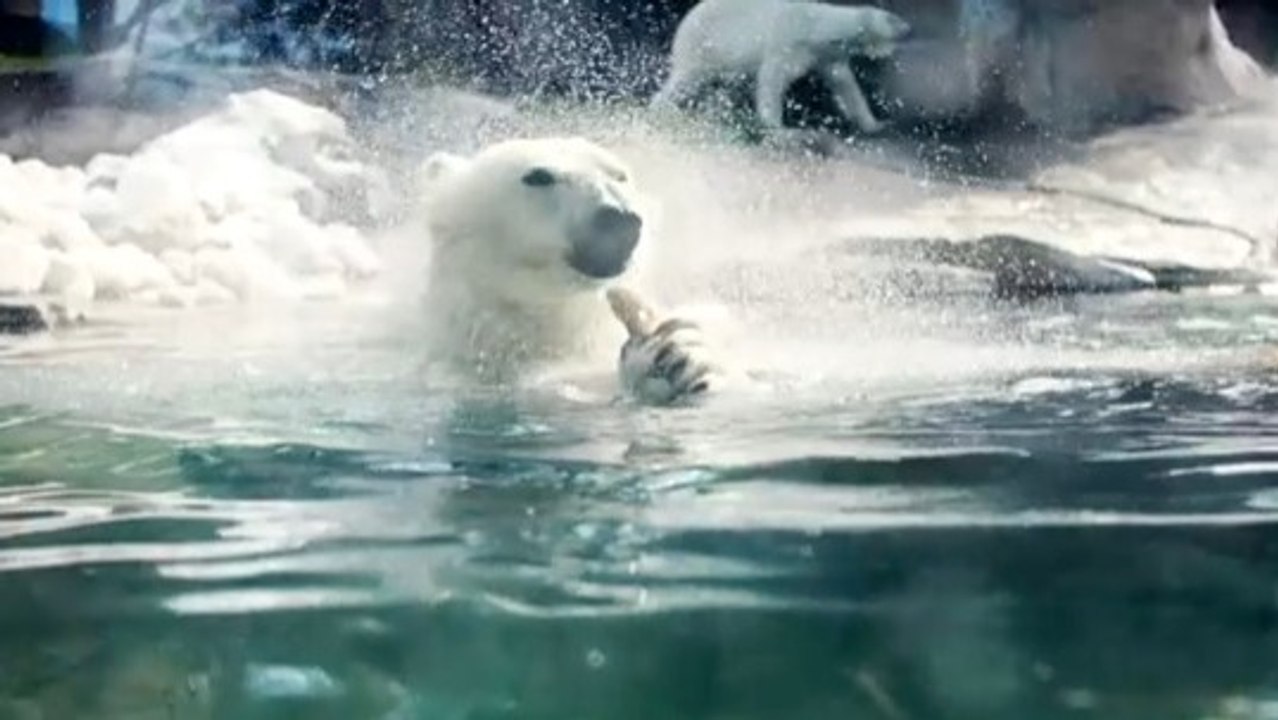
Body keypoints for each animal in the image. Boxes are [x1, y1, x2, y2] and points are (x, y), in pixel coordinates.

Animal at [652, 0, 912, 135]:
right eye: (895, 19)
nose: (909, 27)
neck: (818, 27)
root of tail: (683, 24)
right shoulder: (788, 41)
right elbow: (772, 78)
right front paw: (777, 127)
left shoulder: (825, 57)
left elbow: (845, 85)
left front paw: (876, 123)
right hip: (702, 48)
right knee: (685, 80)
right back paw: (662, 108)